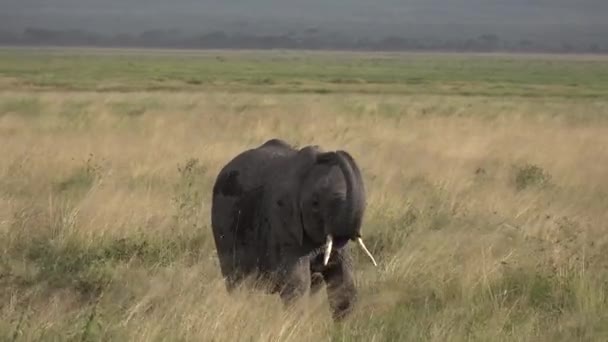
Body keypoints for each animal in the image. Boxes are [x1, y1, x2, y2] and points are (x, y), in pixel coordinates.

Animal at [211, 138, 378, 320]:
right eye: (315, 204)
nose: (329, 154)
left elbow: (343, 280)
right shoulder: (283, 223)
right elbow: (297, 283)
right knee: (237, 283)